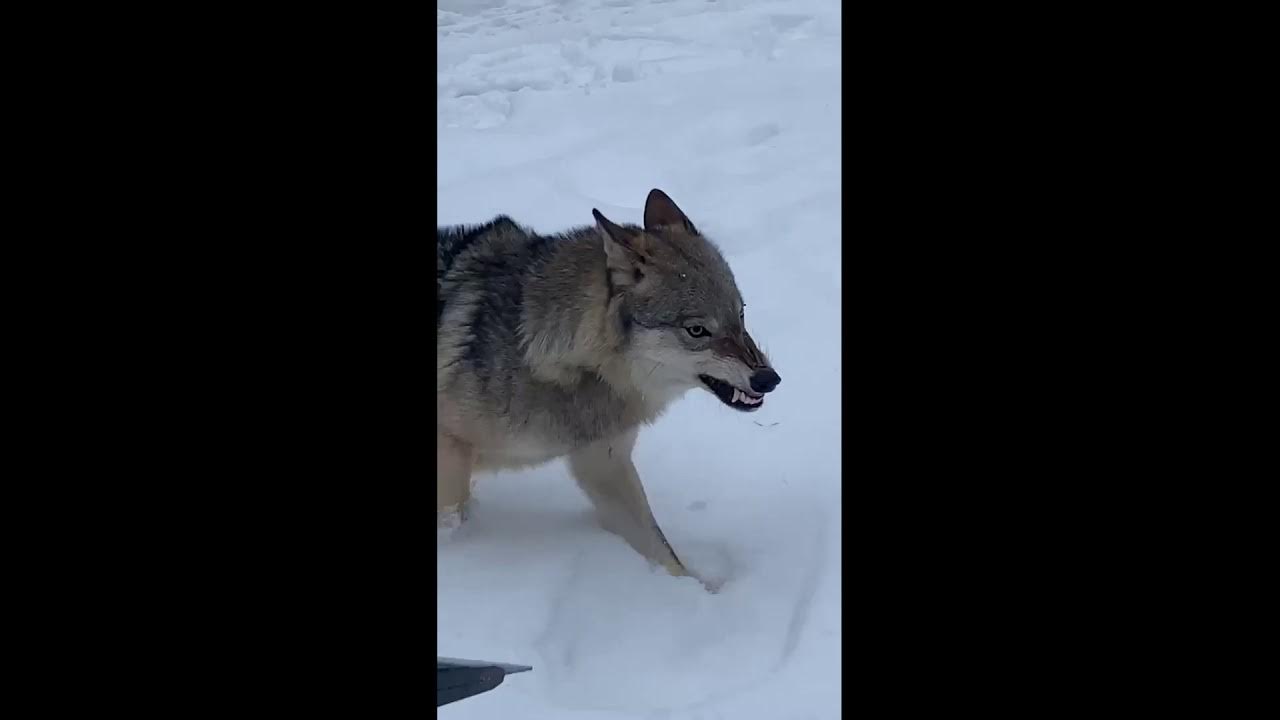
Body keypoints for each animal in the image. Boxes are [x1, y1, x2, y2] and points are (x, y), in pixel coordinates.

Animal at [437, 188, 778, 579]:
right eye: (697, 330)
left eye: (740, 314)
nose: (769, 380)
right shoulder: (450, 453)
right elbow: (452, 519)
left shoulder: (605, 464)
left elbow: (664, 552)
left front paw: (693, 591)